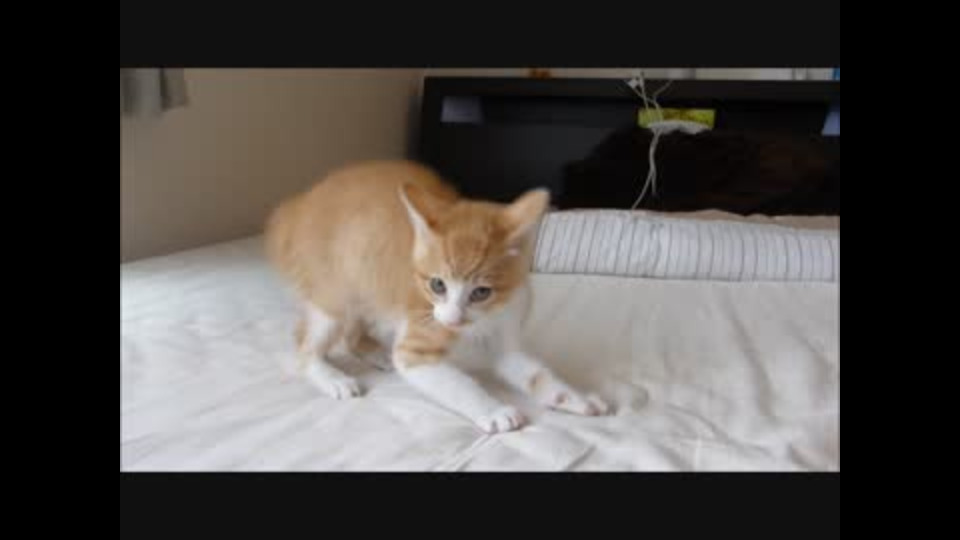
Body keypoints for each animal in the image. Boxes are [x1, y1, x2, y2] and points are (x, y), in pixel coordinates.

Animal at [265, 160, 609, 433]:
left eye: (481, 292)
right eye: (437, 285)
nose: (453, 319)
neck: (480, 323)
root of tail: (296, 208)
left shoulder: (506, 330)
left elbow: (535, 372)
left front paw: (574, 396)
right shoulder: (417, 345)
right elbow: (456, 385)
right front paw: (495, 411)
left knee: (352, 332)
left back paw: (374, 352)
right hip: (335, 292)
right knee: (306, 342)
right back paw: (331, 377)